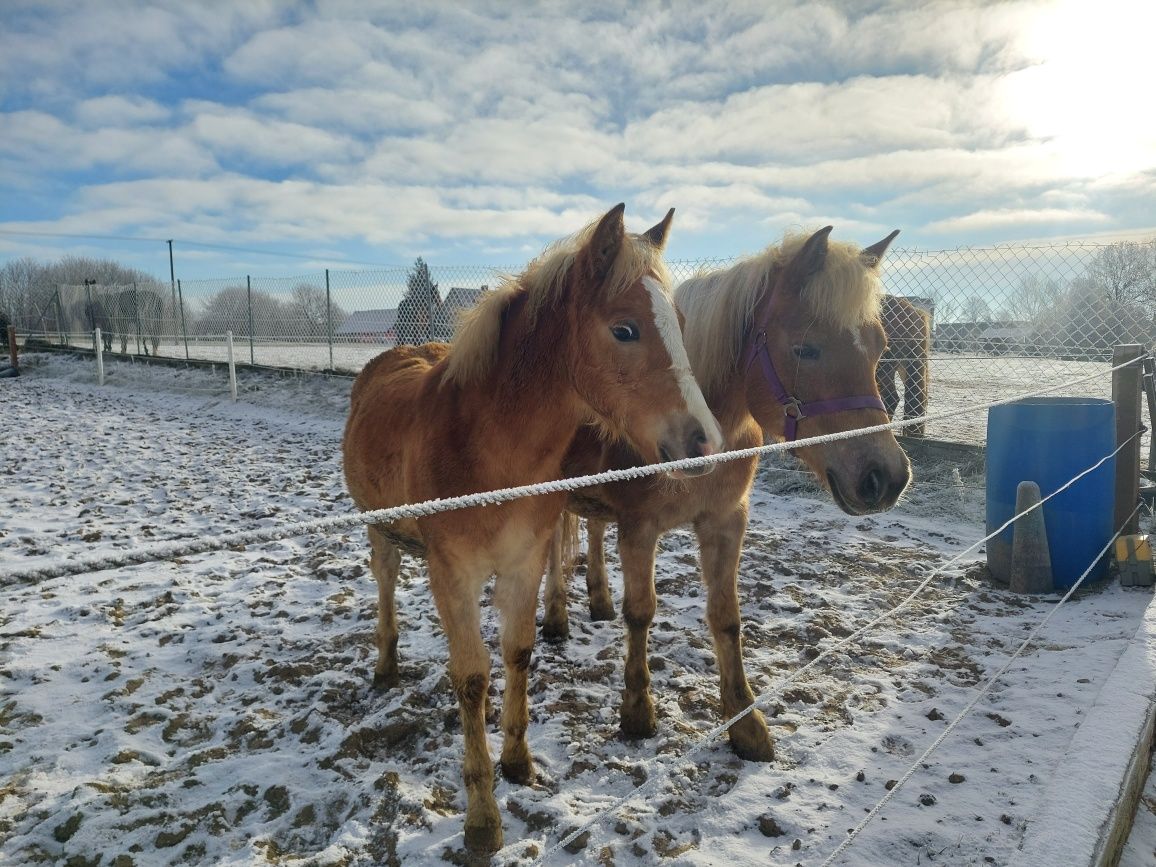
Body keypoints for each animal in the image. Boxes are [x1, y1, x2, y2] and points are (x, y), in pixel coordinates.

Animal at [339, 203, 721, 855]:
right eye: (624, 329)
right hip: (379, 530)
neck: (490, 452)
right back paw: (386, 665)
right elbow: (472, 677)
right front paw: (482, 819)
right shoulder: (454, 575)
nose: (704, 443)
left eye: (678, 322)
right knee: (385, 580)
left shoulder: (524, 563)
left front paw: (518, 762)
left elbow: (518, 651)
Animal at [541, 227, 910, 762]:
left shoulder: (726, 520)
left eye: (879, 346)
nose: (886, 476)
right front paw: (637, 713)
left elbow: (727, 618)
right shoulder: (639, 529)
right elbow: (641, 613)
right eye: (805, 349)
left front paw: (746, 723)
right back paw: (554, 618)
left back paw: (597, 600)